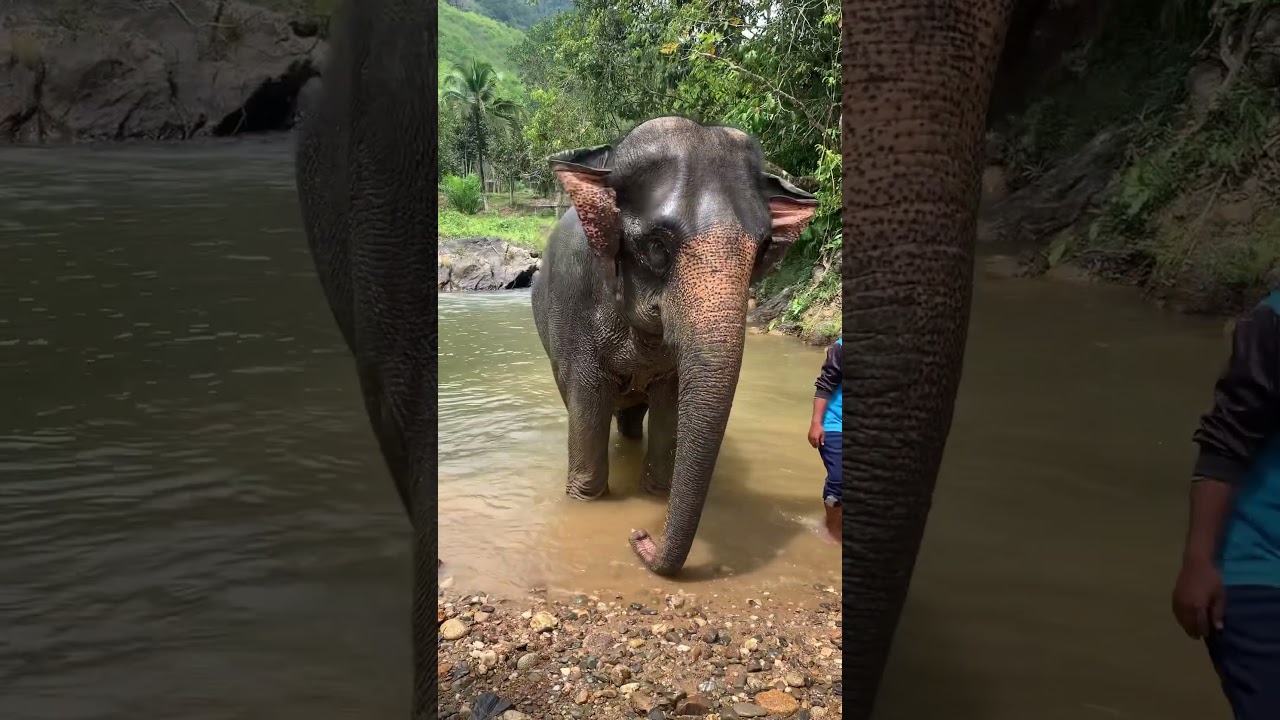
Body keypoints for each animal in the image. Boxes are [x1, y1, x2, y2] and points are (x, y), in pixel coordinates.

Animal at [531, 117, 819, 576]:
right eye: (656, 247)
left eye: (761, 252)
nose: (638, 537)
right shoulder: (575, 313)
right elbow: (587, 402)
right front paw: (586, 500)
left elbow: (669, 403)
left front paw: (653, 494)